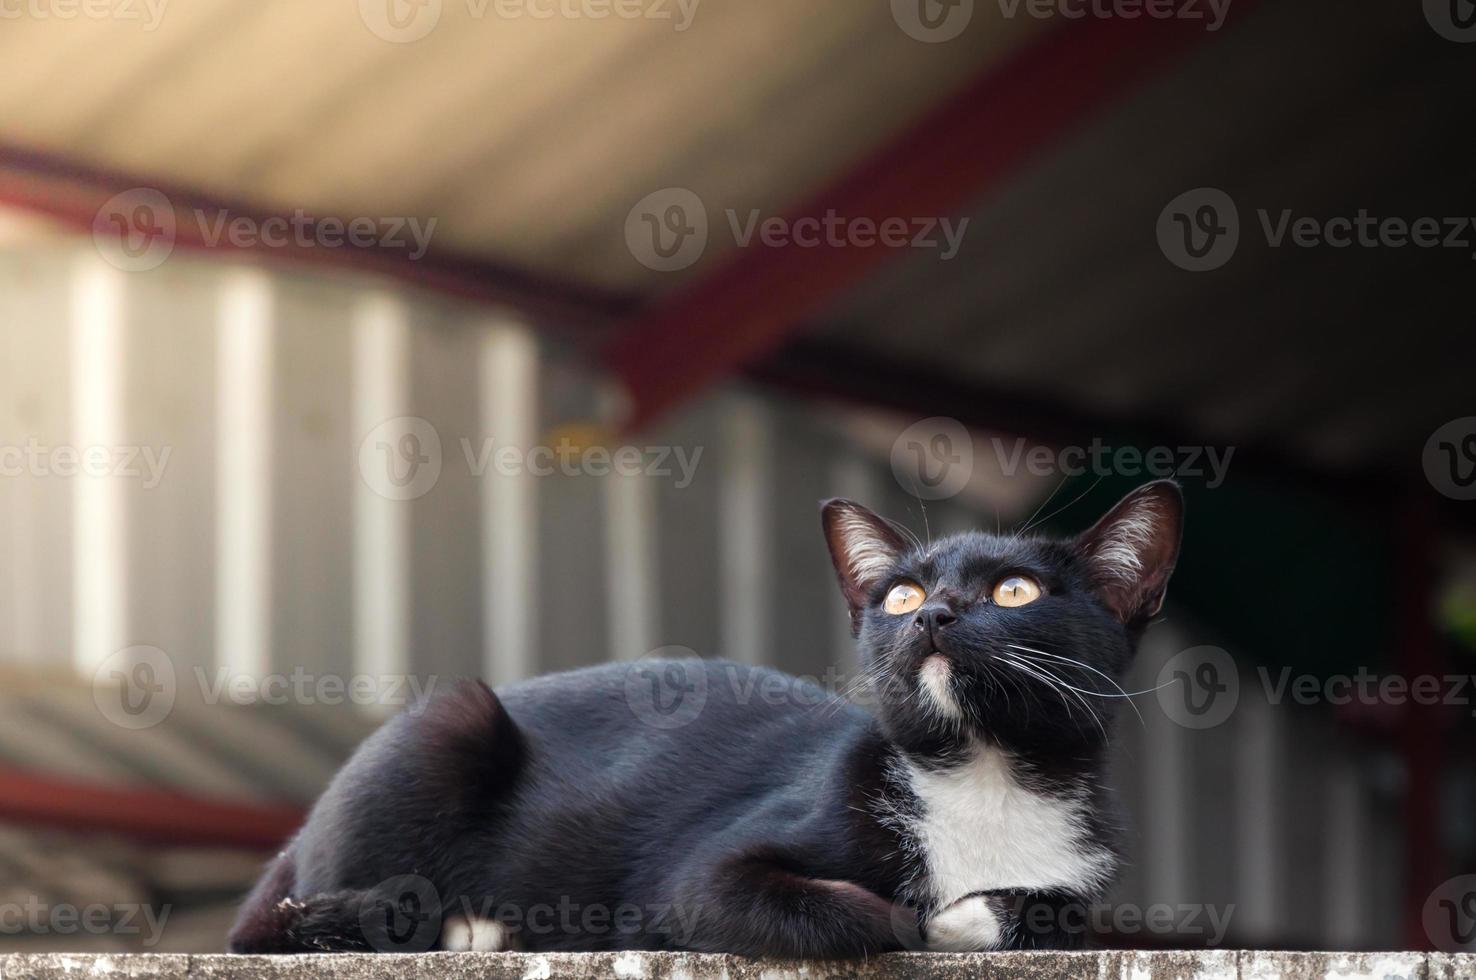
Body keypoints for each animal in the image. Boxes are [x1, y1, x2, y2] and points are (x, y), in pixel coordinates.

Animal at [230, 481, 1180, 956]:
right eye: (900, 595)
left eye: (1015, 591)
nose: (934, 615)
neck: (983, 773)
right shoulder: (697, 876)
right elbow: (812, 907)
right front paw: (917, 919)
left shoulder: (1079, 870)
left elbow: (1062, 910)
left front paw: (974, 915)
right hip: (448, 724)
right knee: (260, 931)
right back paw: (463, 926)